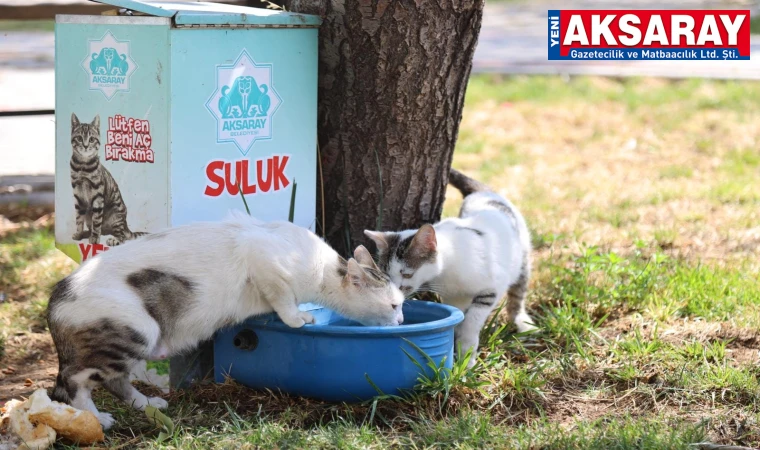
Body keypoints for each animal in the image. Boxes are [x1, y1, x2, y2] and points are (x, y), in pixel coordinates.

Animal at [46, 212, 404, 428]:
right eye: (394, 304)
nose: (402, 320)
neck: (323, 271)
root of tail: (56, 297)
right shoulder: (262, 257)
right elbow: (284, 298)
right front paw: (297, 318)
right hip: (137, 331)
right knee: (72, 383)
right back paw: (97, 419)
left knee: (114, 380)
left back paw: (146, 403)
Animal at [70, 112, 147, 246]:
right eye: (79, 138)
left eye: (91, 139)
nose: (85, 146)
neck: (82, 166)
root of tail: (125, 225)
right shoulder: (78, 196)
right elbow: (78, 219)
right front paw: (79, 234)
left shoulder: (98, 196)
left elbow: (96, 221)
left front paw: (95, 239)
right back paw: (87, 233)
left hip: (116, 215)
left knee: (122, 237)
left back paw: (113, 239)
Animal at [364, 167, 536, 368]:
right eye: (387, 275)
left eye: (406, 274)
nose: (396, 292)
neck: (448, 271)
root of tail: (484, 193)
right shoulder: (453, 298)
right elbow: (458, 319)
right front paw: (458, 351)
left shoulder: (492, 287)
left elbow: (472, 322)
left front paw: (467, 357)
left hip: (522, 256)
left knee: (518, 290)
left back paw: (521, 320)